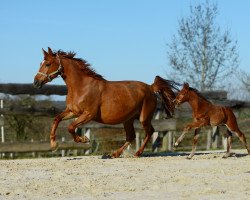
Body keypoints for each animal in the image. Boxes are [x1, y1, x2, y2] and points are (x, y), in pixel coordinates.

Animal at [33, 47, 178, 158]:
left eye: (47, 64)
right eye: (41, 62)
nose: (36, 82)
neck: (81, 87)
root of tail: (150, 87)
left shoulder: (88, 114)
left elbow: (70, 127)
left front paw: (83, 139)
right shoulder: (73, 111)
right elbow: (57, 119)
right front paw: (53, 145)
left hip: (144, 117)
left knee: (150, 131)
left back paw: (137, 153)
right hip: (128, 120)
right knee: (131, 136)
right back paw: (115, 154)